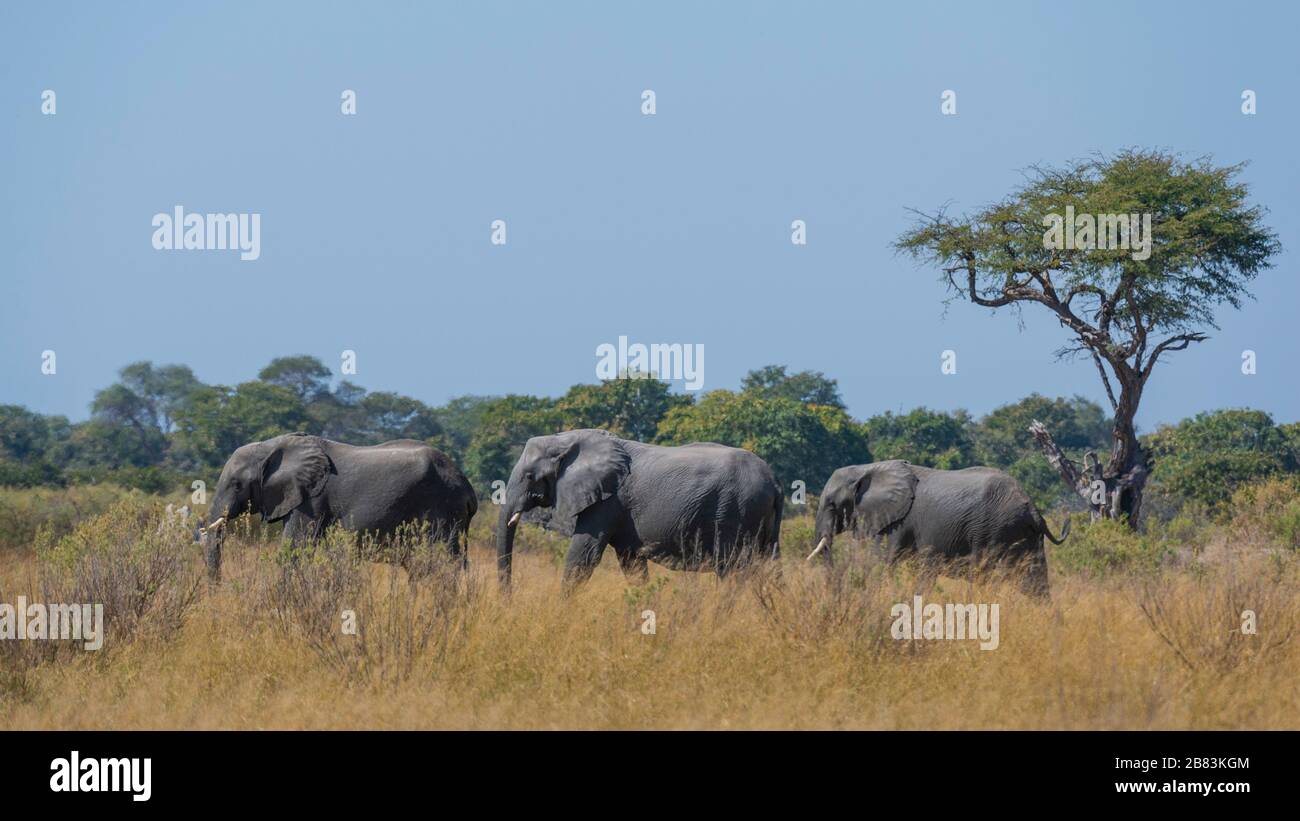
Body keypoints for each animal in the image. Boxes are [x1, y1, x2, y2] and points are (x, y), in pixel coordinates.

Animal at [199, 433, 477, 581]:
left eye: (237, 484)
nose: (217, 589)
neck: (272, 446)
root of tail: (466, 486)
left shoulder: (311, 499)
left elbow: (295, 548)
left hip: (442, 508)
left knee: (439, 562)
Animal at [496, 429, 783, 591]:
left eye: (530, 476)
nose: (509, 599)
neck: (568, 439)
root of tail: (773, 479)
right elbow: (632, 565)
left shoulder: (608, 500)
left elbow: (583, 556)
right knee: (770, 566)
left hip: (736, 511)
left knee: (731, 571)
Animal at [809, 460, 1067, 595]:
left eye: (831, 504)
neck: (866, 469)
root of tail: (1033, 508)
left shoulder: (897, 522)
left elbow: (883, 561)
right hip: (1027, 535)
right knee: (1034, 580)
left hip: (993, 530)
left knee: (987, 574)